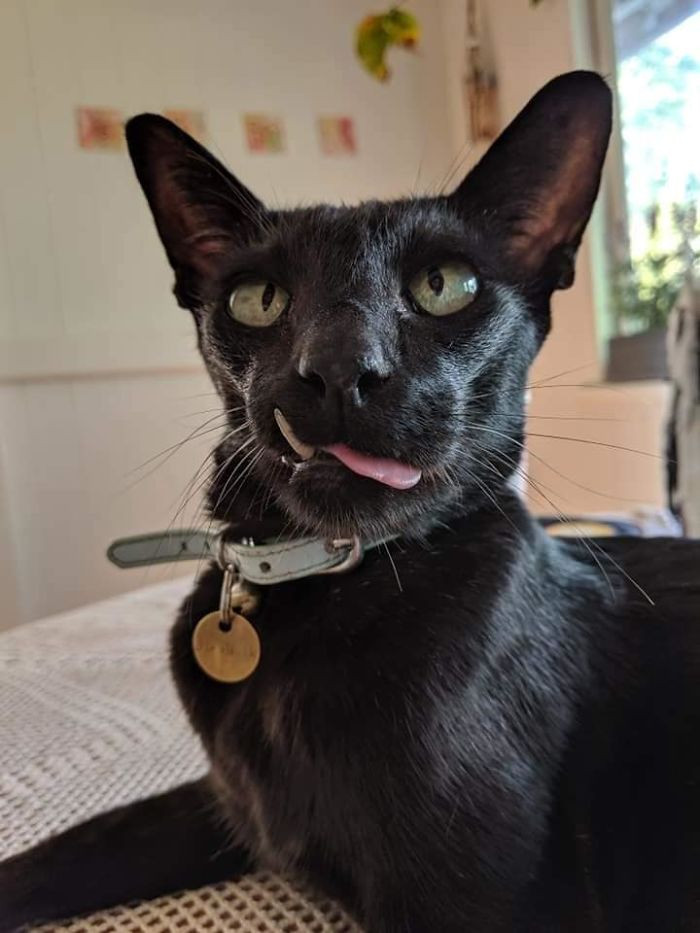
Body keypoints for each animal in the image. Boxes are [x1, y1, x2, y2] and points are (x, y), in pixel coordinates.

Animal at [1, 73, 700, 932]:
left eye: (446, 286)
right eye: (258, 298)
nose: (338, 366)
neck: (320, 585)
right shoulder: (224, 803)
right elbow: (58, 852)